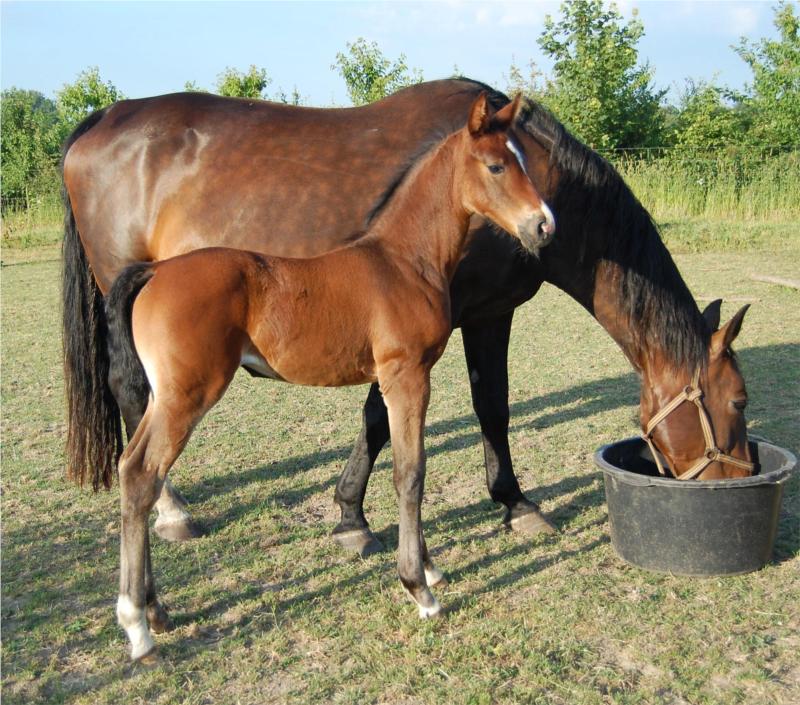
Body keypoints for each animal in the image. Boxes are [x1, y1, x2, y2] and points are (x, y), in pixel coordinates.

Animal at [61, 75, 752, 552]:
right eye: (738, 401)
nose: (737, 481)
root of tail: (104, 118)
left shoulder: (461, 317)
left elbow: (440, 410)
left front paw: (360, 513)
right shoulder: (459, 320)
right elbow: (441, 411)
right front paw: (498, 504)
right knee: (136, 400)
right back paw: (172, 511)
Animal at [108, 95, 556, 660]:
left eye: (523, 159)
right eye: (497, 165)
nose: (544, 226)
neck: (403, 259)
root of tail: (156, 272)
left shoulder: (397, 378)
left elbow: (400, 458)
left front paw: (428, 567)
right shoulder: (407, 375)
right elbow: (410, 472)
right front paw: (419, 588)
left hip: (168, 397)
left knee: (133, 470)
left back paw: (155, 612)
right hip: (185, 396)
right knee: (141, 474)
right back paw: (137, 626)